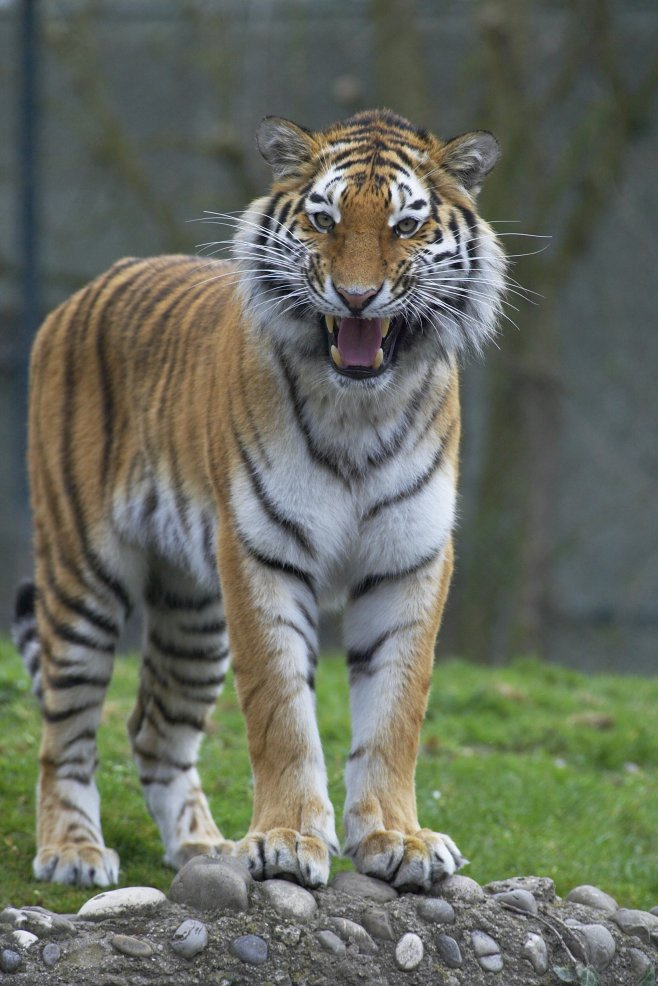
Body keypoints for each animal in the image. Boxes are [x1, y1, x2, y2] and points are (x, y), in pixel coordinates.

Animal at [11, 109, 506, 891]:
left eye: (405, 226)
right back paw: (72, 850)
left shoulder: (408, 559)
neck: (359, 407)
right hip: (81, 572)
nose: (357, 297)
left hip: (194, 613)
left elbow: (396, 712)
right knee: (66, 730)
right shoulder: (262, 555)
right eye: (324, 218)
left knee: (154, 733)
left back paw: (204, 847)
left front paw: (398, 839)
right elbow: (282, 712)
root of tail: (88, 289)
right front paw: (284, 839)